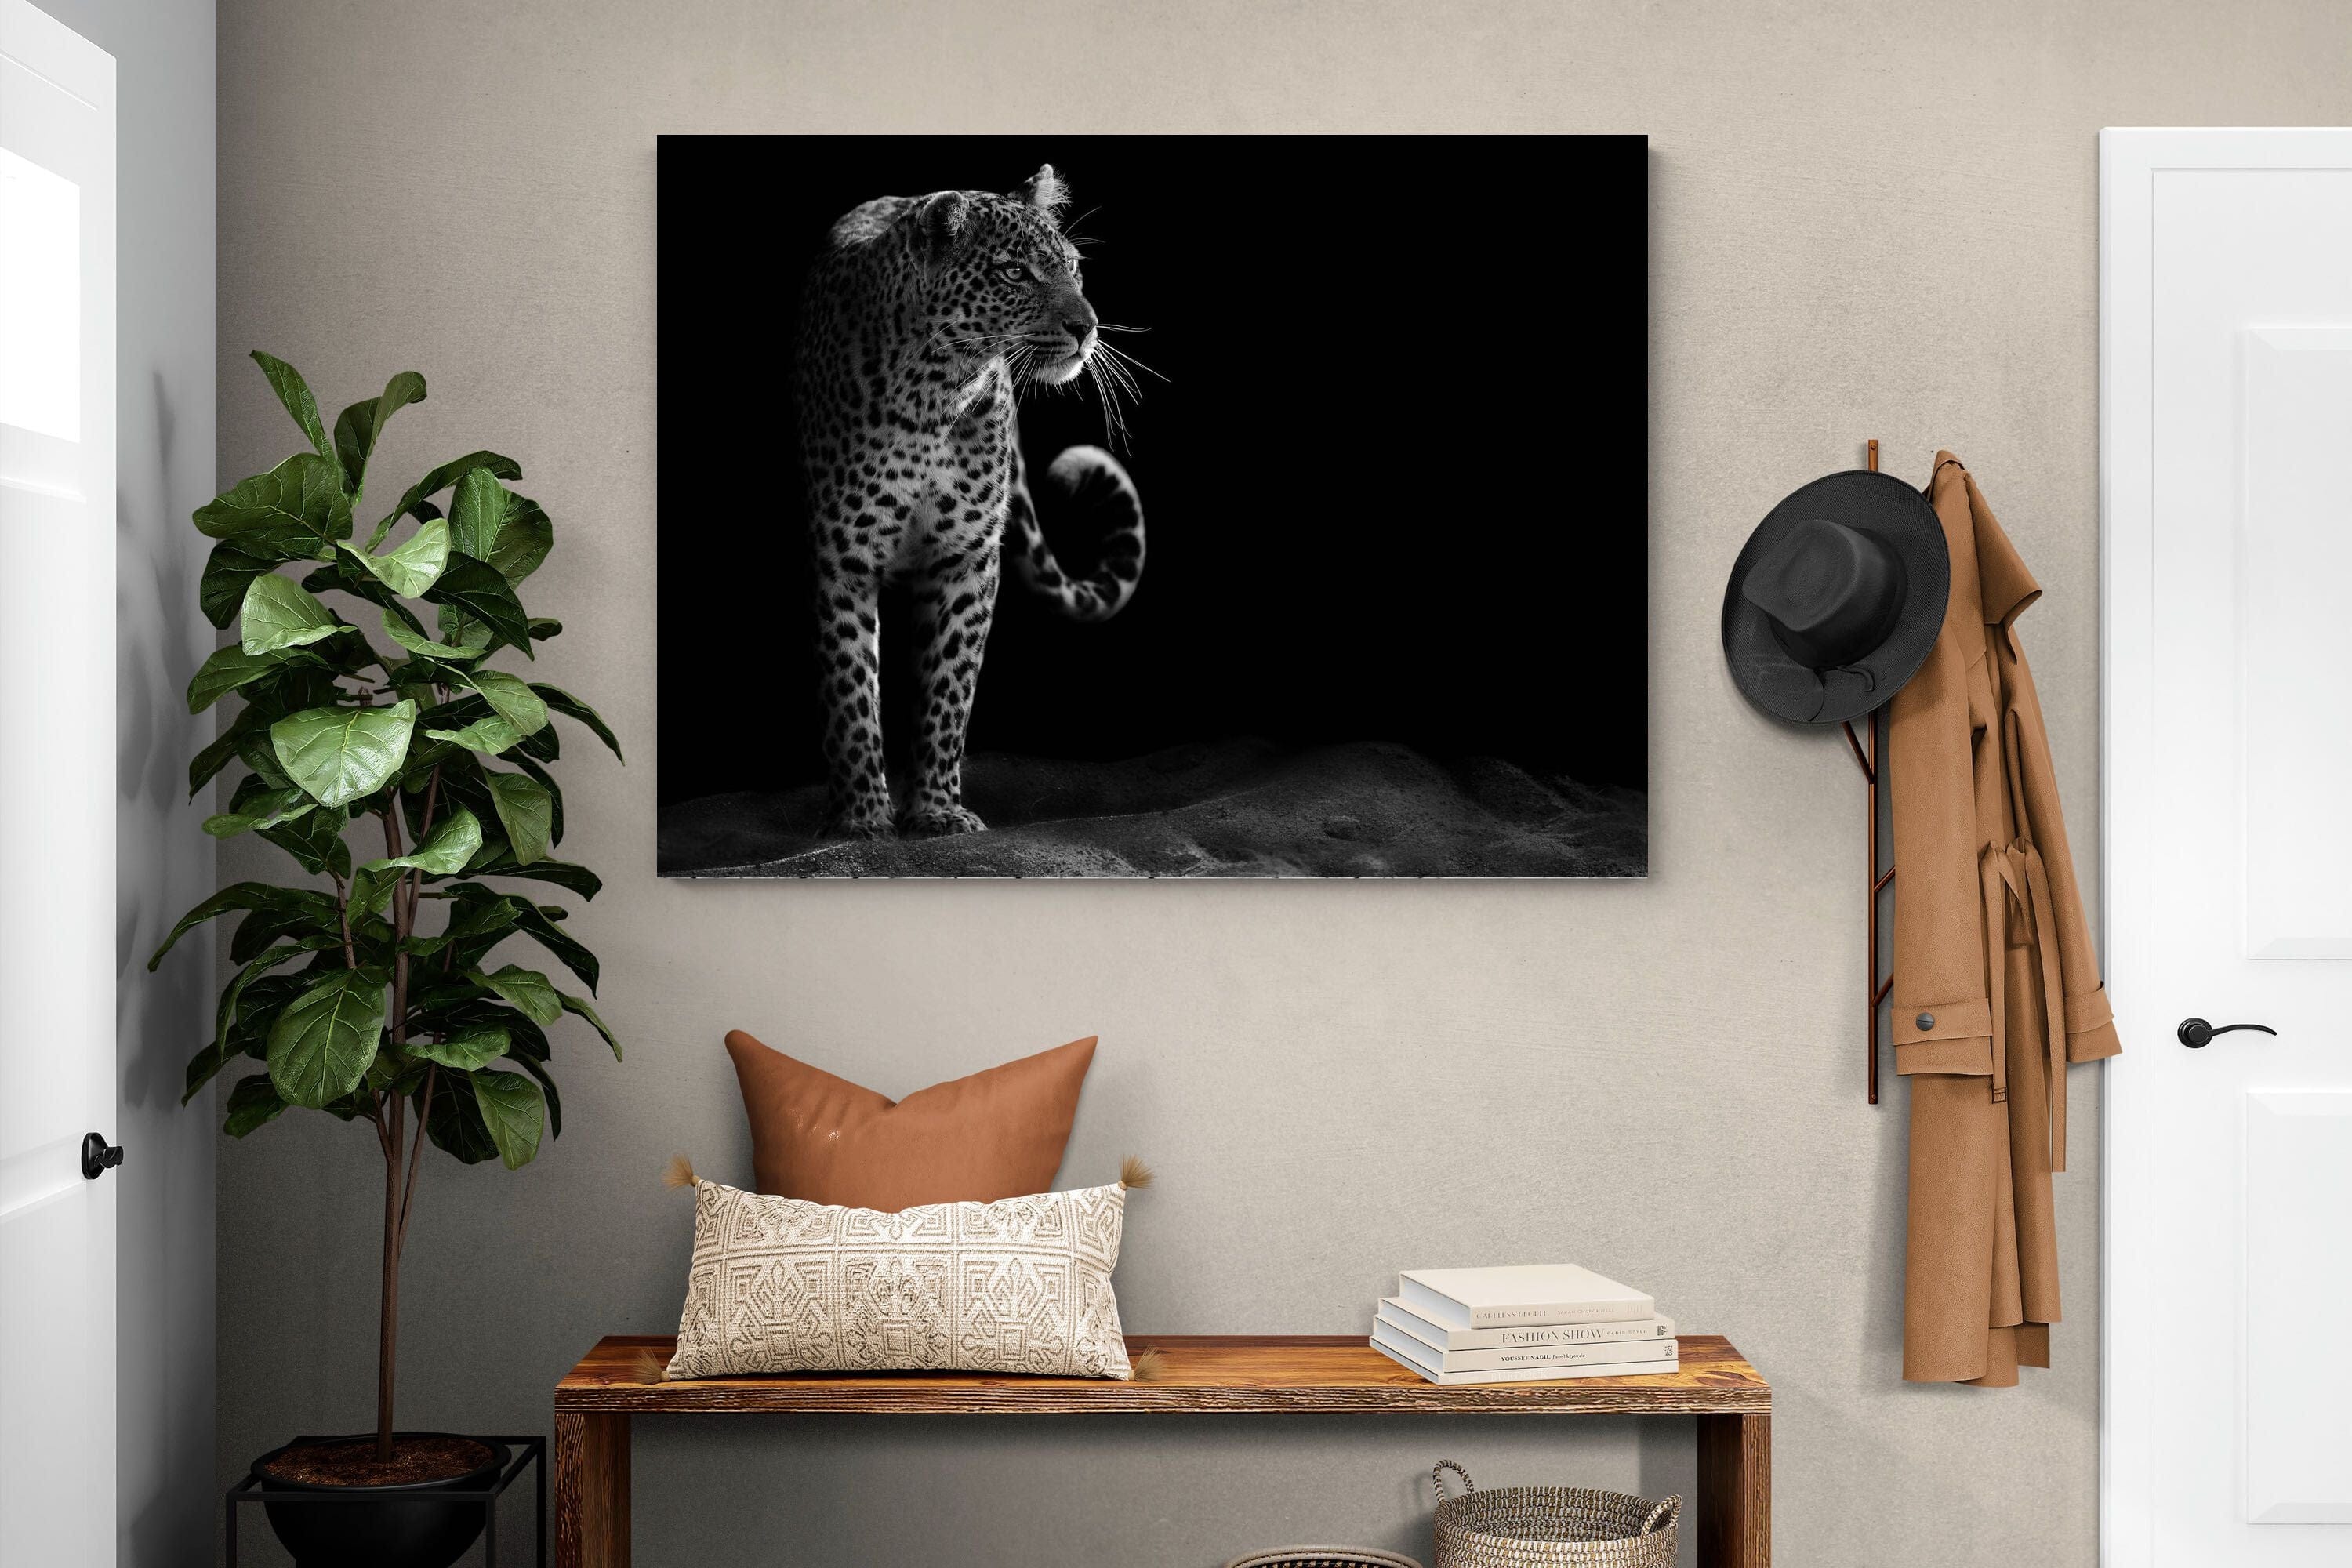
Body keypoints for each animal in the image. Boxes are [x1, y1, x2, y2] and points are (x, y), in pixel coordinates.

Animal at [793, 163, 1147, 840]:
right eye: (1015, 272)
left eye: (1072, 267)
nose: (1087, 327)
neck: (935, 390)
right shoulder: (843, 556)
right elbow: (850, 688)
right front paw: (861, 817)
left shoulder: (966, 559)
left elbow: (948, 688)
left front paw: (935, 808)